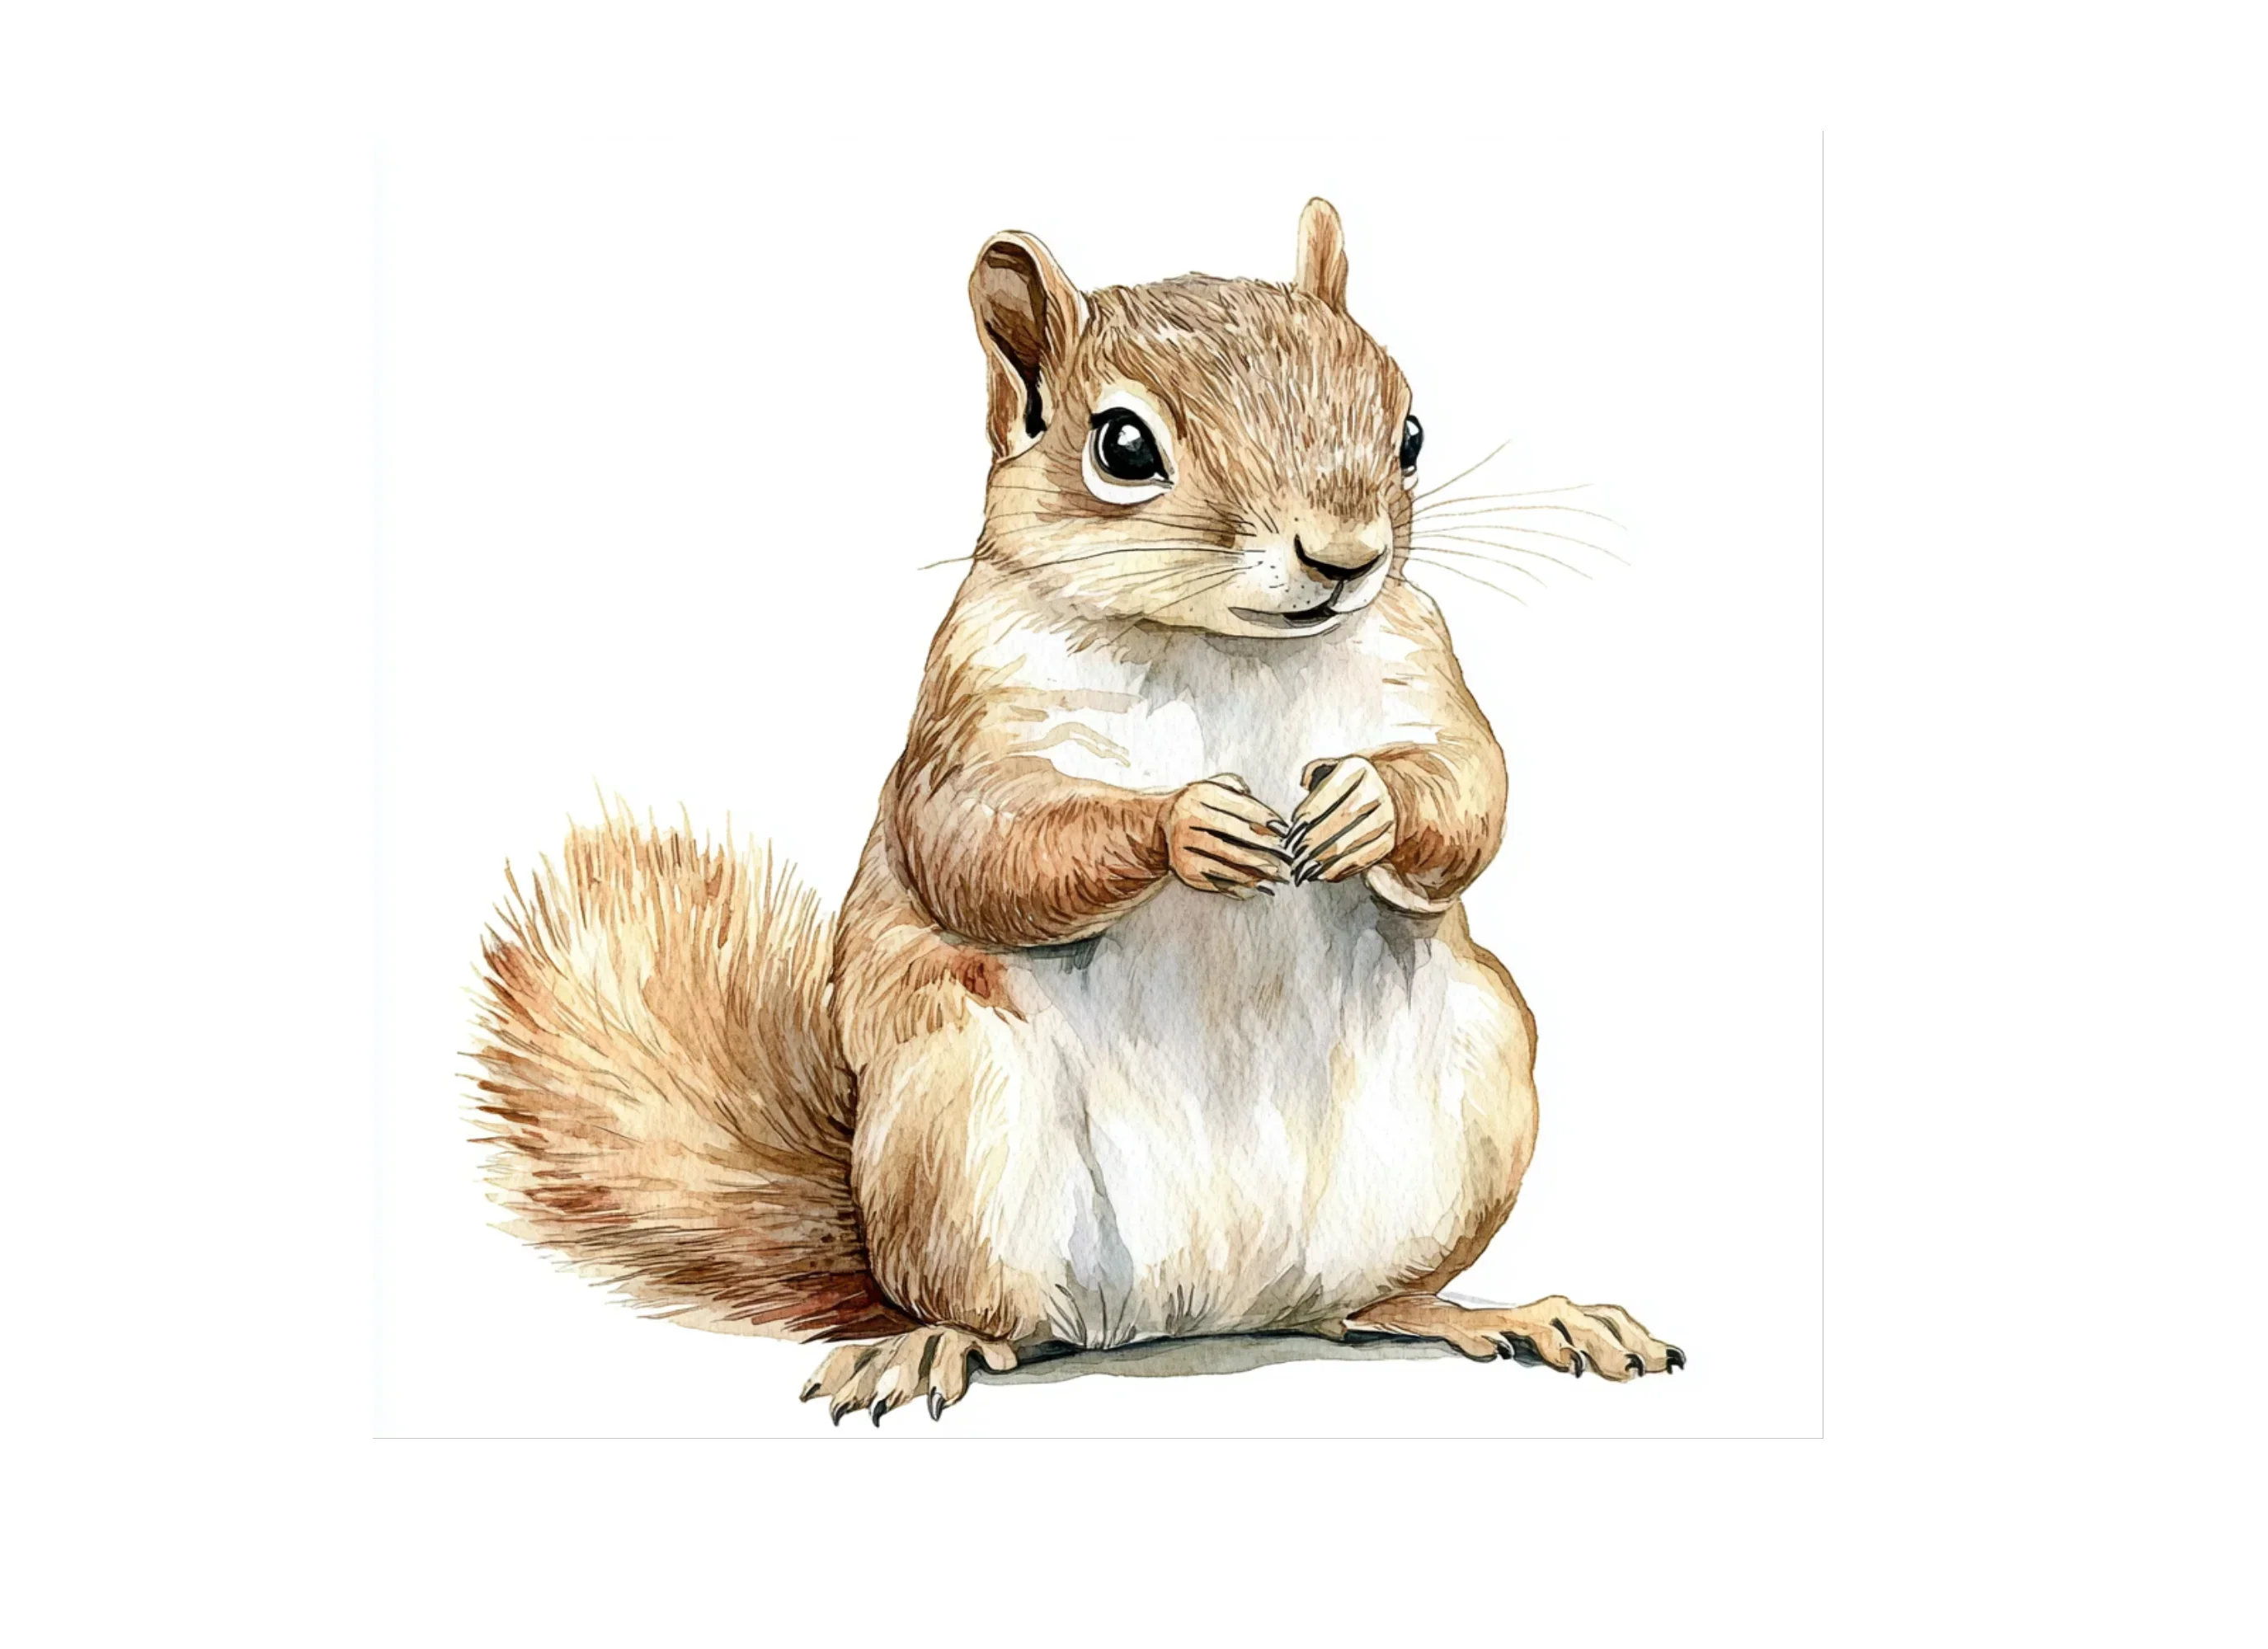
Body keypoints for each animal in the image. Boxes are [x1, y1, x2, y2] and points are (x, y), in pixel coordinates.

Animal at [473, 199, 1680, 1423]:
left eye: (1411, 433)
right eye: (1123, 447)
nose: (1344, 558)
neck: (1222, 651)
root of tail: (1212, 1308)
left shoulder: (1421, 664)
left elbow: (1475, 788)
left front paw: (1367, 807)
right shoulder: (965, 716)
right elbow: (984, 846)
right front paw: (1187, 825)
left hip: (1477, 1078)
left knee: (1369, 1304)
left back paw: (1510, 1313)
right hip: (953, 1114)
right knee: (993, 1315)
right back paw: (930, 1342)